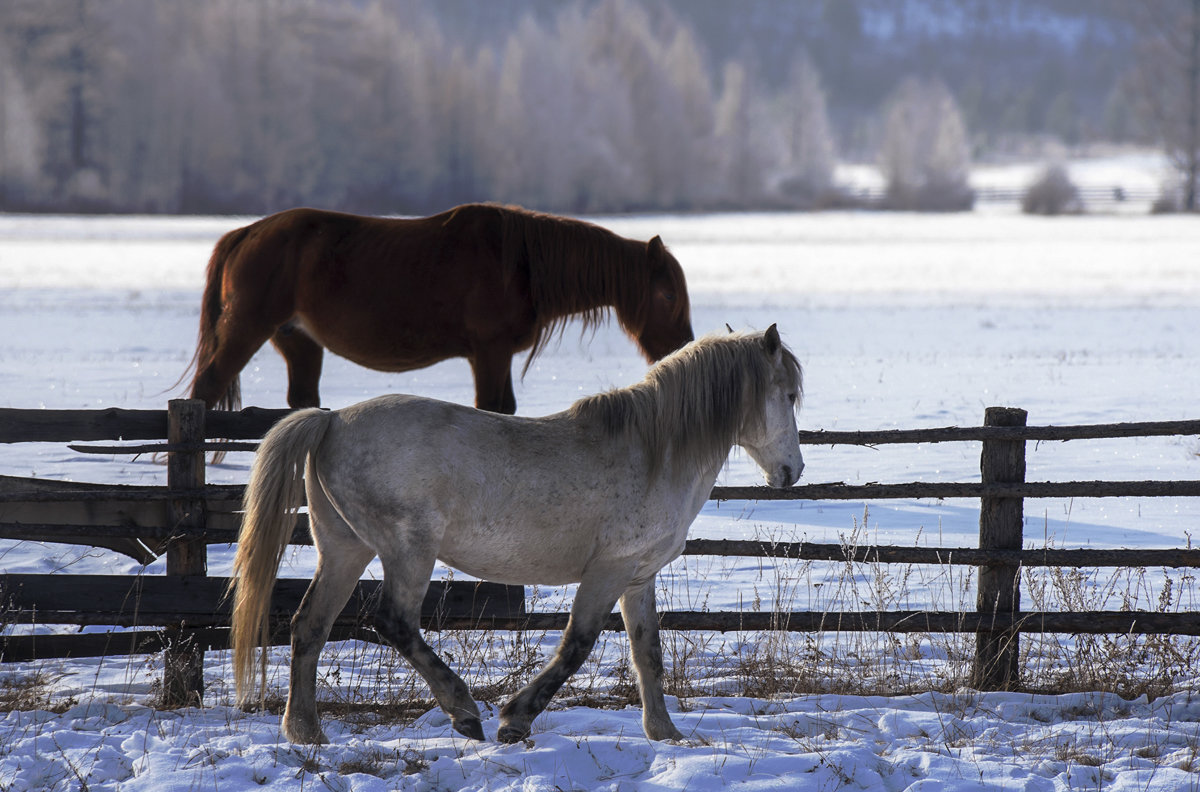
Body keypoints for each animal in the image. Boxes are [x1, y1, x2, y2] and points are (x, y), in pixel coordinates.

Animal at [186, 202, 696, 415]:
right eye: (668, 296)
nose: (684, 348)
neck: (520, 263)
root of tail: (247, 233)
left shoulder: (497, 356)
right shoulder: (489, 353)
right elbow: (492, 409)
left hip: (299, 342)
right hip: (246, 329)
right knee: (206, 389)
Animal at [228, 324, 801, 744]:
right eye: (789, 394)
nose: (791, 472)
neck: (654, 452)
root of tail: (332, 420)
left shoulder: (637, 577)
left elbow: (648, 653)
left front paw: (665, 734)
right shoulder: (608, 570)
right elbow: (577, 644)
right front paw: (515, 719)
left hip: (344, 550)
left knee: (309, 627)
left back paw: (306, 732)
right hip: (408, 551)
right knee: (394, 621)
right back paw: (463, 711)